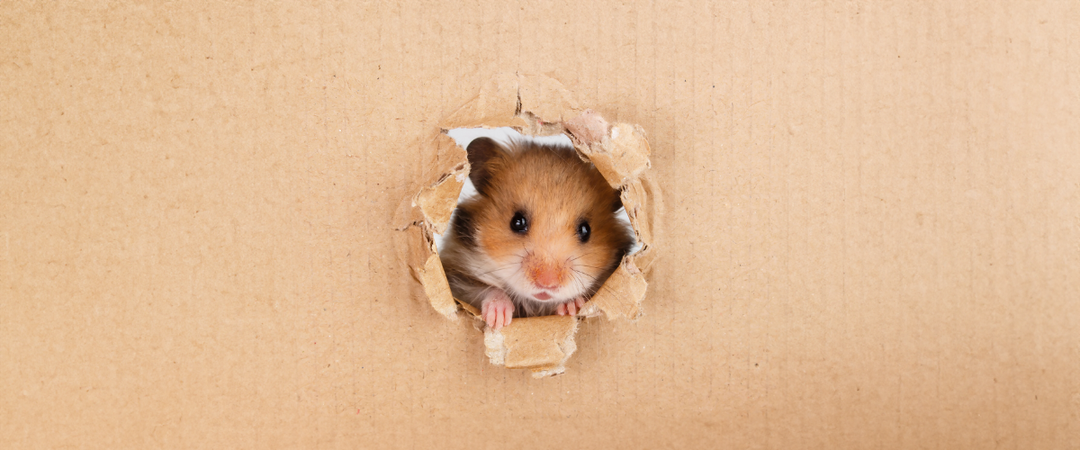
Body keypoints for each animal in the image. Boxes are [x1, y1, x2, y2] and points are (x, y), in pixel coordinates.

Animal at [439, 136, 635, 329]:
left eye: (586, 230)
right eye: (517, 222)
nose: (547, 283)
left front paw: (571, 306)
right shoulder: (457, 277)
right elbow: (486, 290)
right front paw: (499, 318)